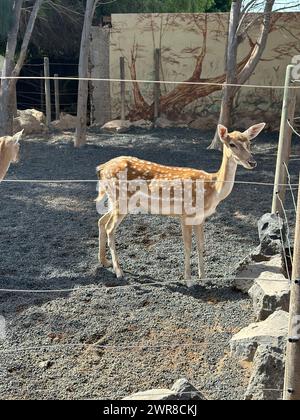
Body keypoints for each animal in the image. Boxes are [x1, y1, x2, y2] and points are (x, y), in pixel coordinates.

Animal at [95, 123, 264, 284]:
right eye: (232, 144)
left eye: (249, 143)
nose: (252, 162)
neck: (213, 189)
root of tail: (101, 168)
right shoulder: (185, 214)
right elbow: (187, 246)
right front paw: (188, 280)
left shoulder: (201, 217)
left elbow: (201, 245)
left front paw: (203, 277)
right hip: (120, 199)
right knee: (110, 228)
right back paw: (119, 271)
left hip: (116, 201)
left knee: (101, 221)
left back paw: (104, 262)